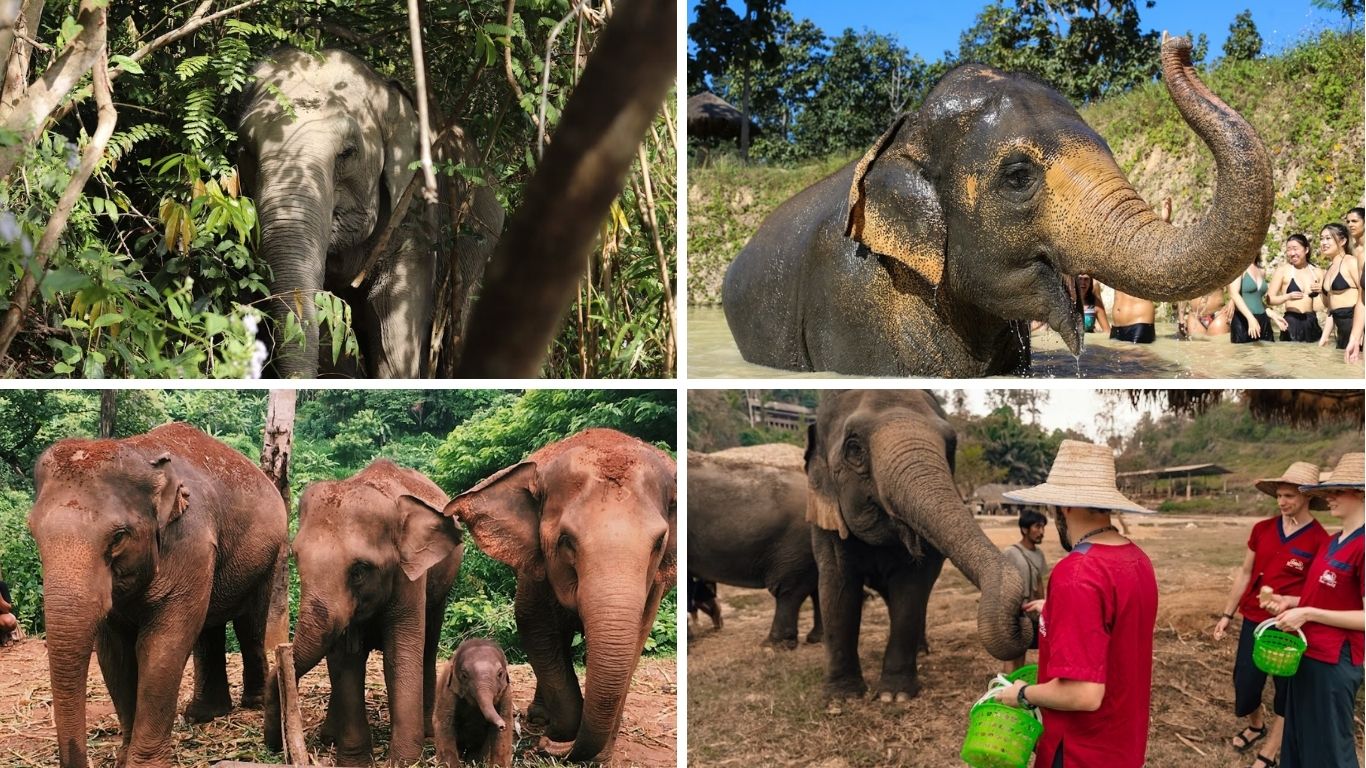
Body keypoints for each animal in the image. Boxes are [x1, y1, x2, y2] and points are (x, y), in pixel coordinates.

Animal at [27, 422, 289, 768]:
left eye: (118, 537)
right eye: (33, 532)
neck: (142, 456)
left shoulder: (190, 542)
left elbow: (162, 644)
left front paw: (143, 764)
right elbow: (115, 652)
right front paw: (123, 758)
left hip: (269, 555)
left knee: (249, 623)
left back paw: (252, 703)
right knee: (209, 627)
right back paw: (202, 715)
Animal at [263, 460, 463, 767]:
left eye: (359, 570)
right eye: (296, 558)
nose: (273, 745)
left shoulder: (409, 578)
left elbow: (400, 655)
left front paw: (404, 761)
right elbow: (346, 660)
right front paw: (354, 761)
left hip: (442, 586)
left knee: (428, 646)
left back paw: (429, 731)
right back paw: (328, 737)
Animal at [433, 638, 514, 768]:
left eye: (500, 674)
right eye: (464, 675)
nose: (501, 725)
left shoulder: (506, 692)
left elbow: (505, 726)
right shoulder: (447, 691)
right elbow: (444, 723)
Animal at [804, 390, 1032, 701]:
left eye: (951, 445)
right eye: (854, 448)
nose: (1024, 614)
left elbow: (912, 590)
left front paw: (894, 696)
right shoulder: (827, 520)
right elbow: (837, 585)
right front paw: (844, 696)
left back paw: (922, 650)